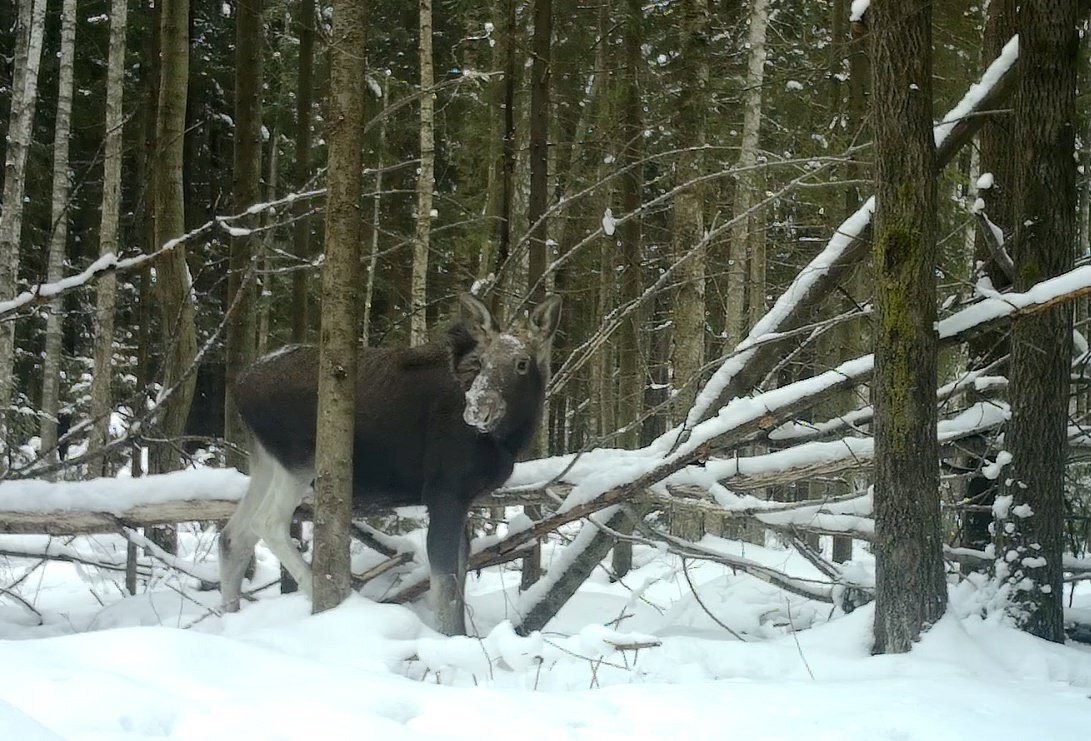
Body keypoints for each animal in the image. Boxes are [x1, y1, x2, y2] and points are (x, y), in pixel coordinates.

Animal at [219, 292, 562, 632]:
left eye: (522, 363)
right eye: (482, 362)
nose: (477, 410)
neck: (507, 440)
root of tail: (239, 385)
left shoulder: (466, 500)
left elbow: (459, 583)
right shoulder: (444, 492)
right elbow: (446, 592)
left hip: (266, 462)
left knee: (232, 536)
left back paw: (229, 618)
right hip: (298, 460)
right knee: (266, 522)